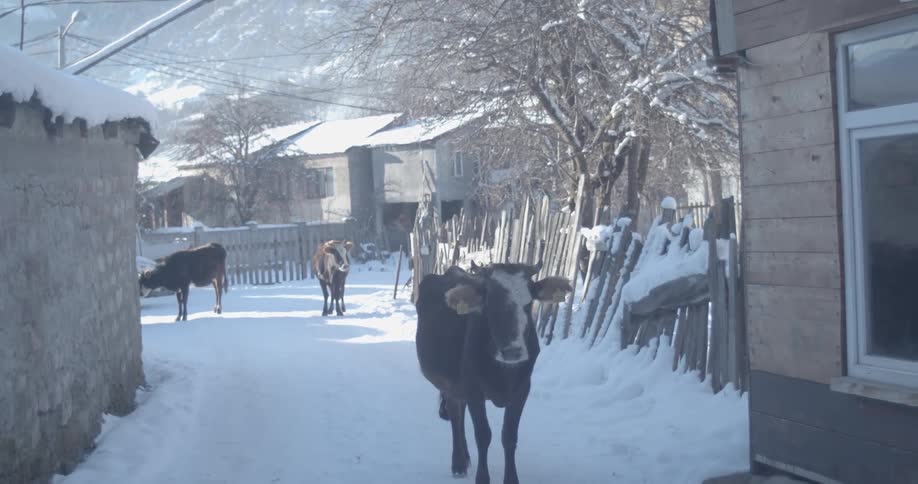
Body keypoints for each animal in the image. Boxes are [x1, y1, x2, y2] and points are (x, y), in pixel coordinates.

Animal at [415, 262, 572, 484]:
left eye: (528, 303)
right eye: (490, 304)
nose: (513, 351)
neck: (503, 374)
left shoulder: (522, 390)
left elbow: (509, 436)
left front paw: (511, 479)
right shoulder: (474, 390)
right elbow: (483, 434)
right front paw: (482, 478)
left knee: (460, 412)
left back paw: (466, 457)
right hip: (451, 384)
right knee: (455, 414)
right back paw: (459, 463)